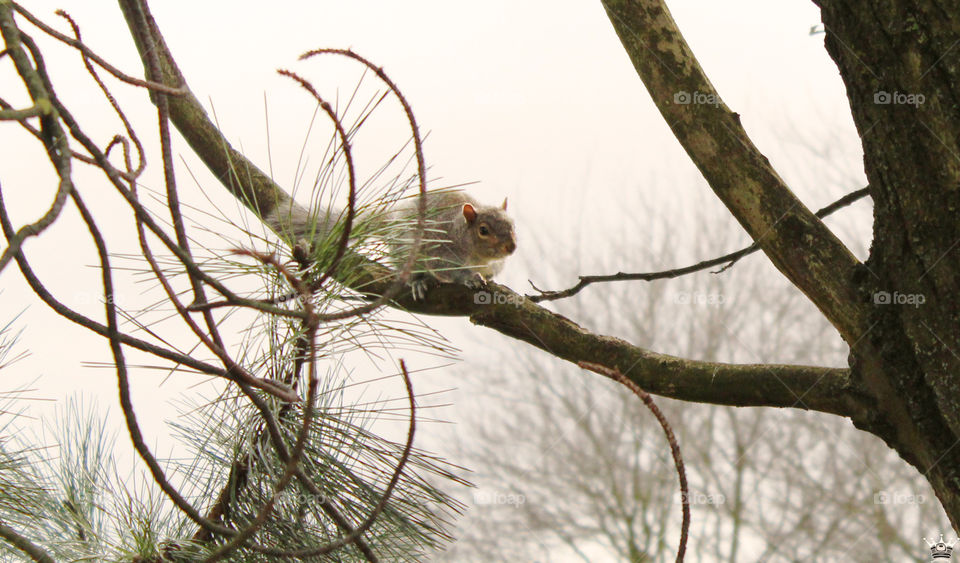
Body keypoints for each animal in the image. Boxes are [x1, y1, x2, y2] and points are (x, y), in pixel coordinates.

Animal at [265, 189, 517, 300]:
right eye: (483, 230)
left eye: (512, 224)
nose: (511, 248)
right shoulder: (441, 249)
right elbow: (450, 269)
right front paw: (469, 277)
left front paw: (489, 278)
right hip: (406, 251)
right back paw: (419, 281)